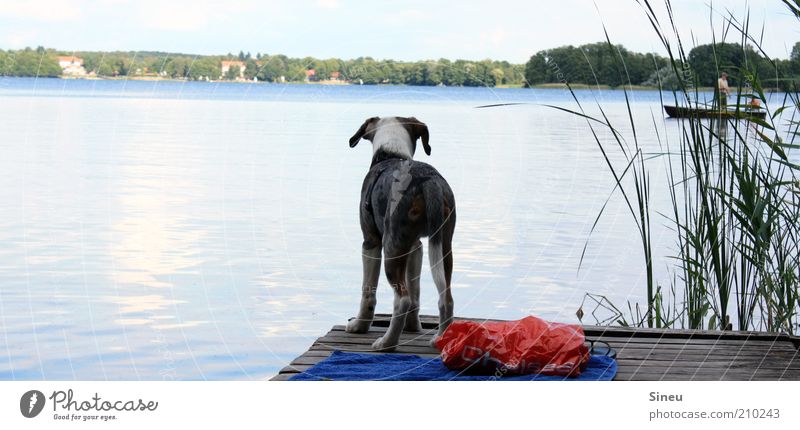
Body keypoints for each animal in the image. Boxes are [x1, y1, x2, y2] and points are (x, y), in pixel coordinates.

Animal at [344, 116, 456, 352]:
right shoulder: (415, 246)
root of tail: (429, 182)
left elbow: (368, 291)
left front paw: (359, 325)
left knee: (401, 300)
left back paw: (387, 343)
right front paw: (413, 327)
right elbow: (415, 293)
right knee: (445, 297)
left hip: (392, 246)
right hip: (442, 246)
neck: (392, 153)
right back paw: (440, 338)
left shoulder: (371, 242)